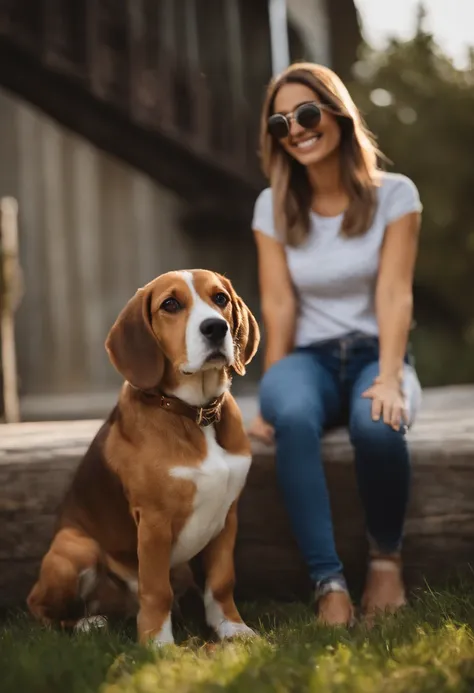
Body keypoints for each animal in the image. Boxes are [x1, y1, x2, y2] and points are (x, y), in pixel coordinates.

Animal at [26, 268, 260, 644]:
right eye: (171, 304)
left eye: (220, 298)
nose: (215, 327)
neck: (195, 415)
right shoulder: (154, 521)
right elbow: (156, 588)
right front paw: (158, 643)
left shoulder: (228, 516)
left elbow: (222, 581)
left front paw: (232, 628)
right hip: (76, 547)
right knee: (39, 608)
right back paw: (87, 624)